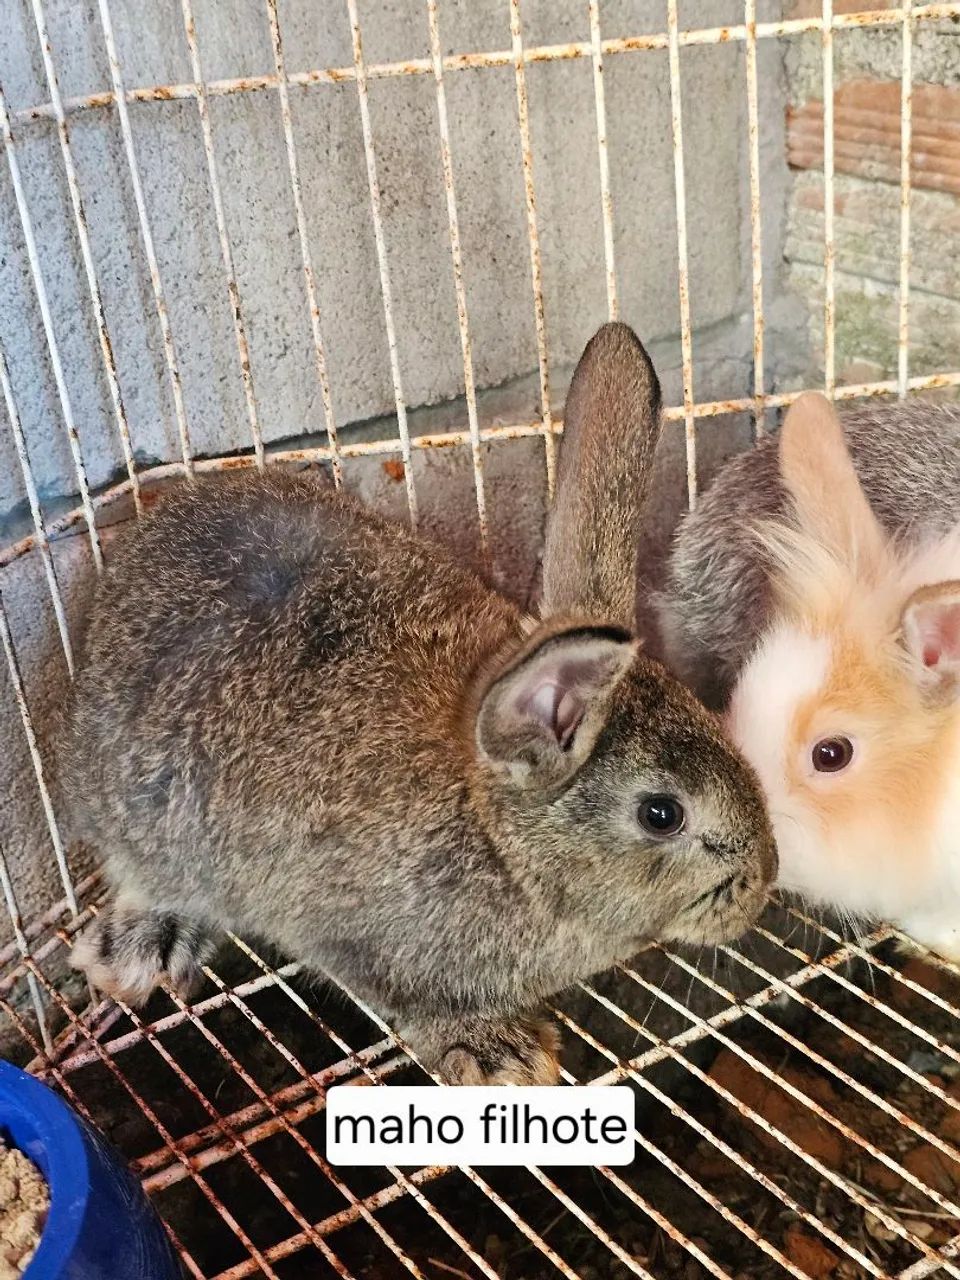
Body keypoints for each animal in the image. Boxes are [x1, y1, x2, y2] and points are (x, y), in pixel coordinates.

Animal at [62, 322, 776, 1085]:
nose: (763, 885)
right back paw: (139, 950)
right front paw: (504, 1059)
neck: (496, 832)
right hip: (136, 815)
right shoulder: (354, 938)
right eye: (662, 814)